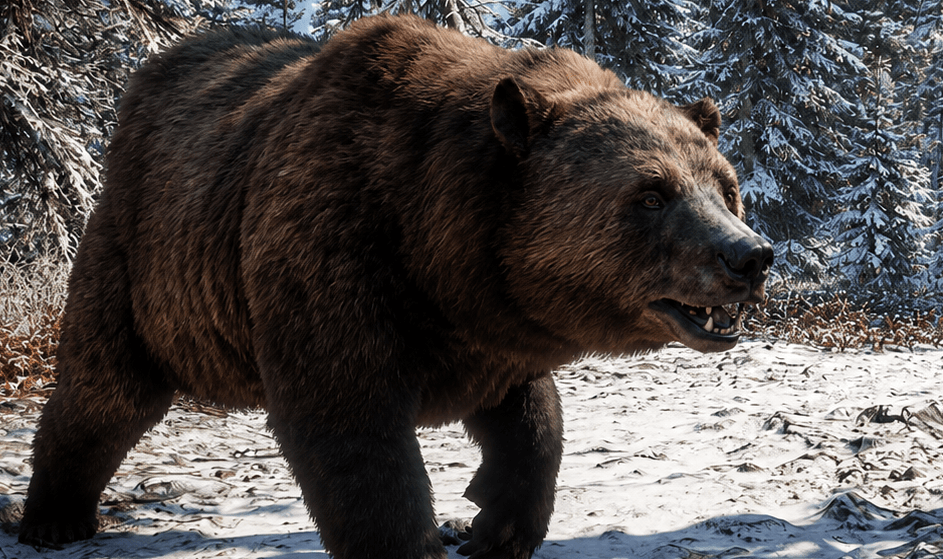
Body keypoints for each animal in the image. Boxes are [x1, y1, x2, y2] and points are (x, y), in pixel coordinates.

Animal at [18, 13, 773, 559]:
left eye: (722, 185)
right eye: (650, 193)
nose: (749, 256)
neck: (429, 236)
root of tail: (150, 75)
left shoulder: (486, 327)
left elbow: (530, 421)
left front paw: (492, 522)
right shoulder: (337, 254)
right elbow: (354, 437)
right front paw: (420, 537)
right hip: (142, 262)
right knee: (104, 391)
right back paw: (54, 518)